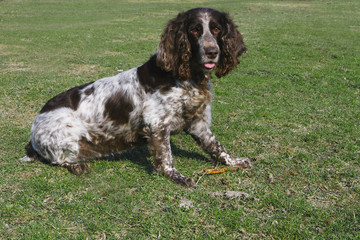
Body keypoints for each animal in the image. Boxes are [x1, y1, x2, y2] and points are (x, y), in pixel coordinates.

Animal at [21, 7, 253, 188]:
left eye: (217, 29)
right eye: (194, 29)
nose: (212, 51)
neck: (187, 77)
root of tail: (35, 127)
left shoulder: (198, 124)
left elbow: (217, 147)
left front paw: (234, 162)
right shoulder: (157, 124)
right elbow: (166, 158)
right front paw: (177, 177)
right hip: (69, 139)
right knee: (60, 159)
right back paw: (77, 166)